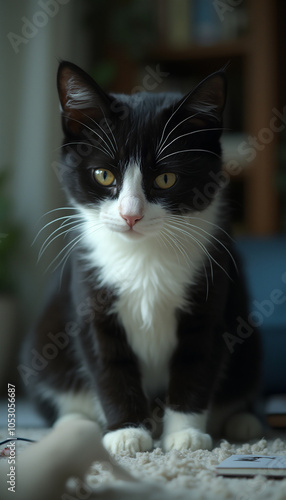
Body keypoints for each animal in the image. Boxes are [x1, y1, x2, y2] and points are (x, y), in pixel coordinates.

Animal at [21, 60, 262, 456]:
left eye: (165, 179)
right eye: (104, 174)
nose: (130, 215)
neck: (143, 255)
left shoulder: (210, 288)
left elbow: (197, 361)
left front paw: (185, 433)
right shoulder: (90, 291)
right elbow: (108, 364)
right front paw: (126, 432)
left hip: (250, 339)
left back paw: (244, 421)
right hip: (43, 343)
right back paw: (75, 425)